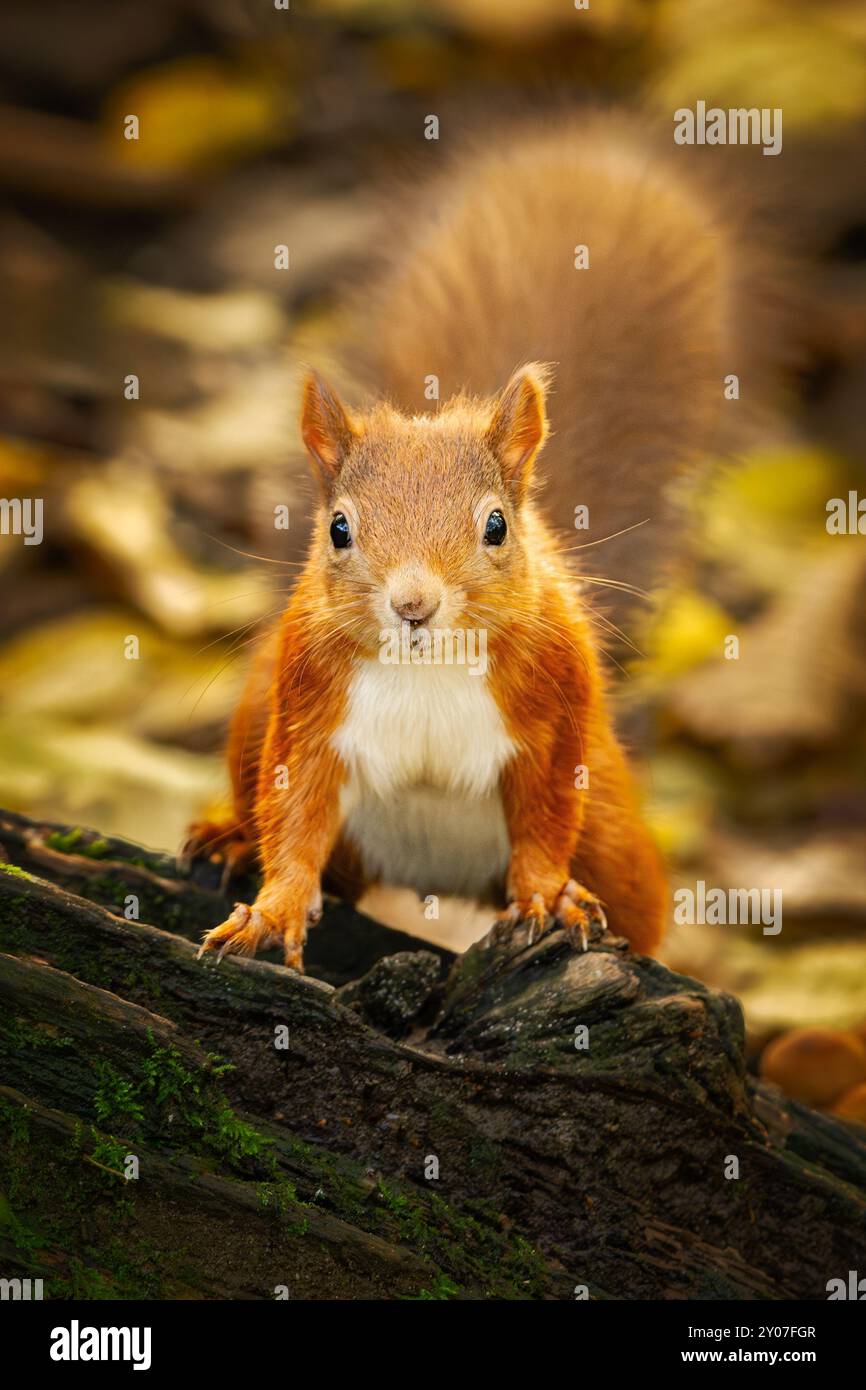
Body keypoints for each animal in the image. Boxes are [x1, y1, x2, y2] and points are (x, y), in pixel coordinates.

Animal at [187, 113, 783, 967]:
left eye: (497, 525)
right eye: (338, 529)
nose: (413, 603)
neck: (428, 667)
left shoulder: (555, 718)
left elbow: (544, 822)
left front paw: (548, 898)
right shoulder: (307, 713)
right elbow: (293, 821)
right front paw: (270, 910)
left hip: (615, 835)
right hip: (253, 724)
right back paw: (229, 839)